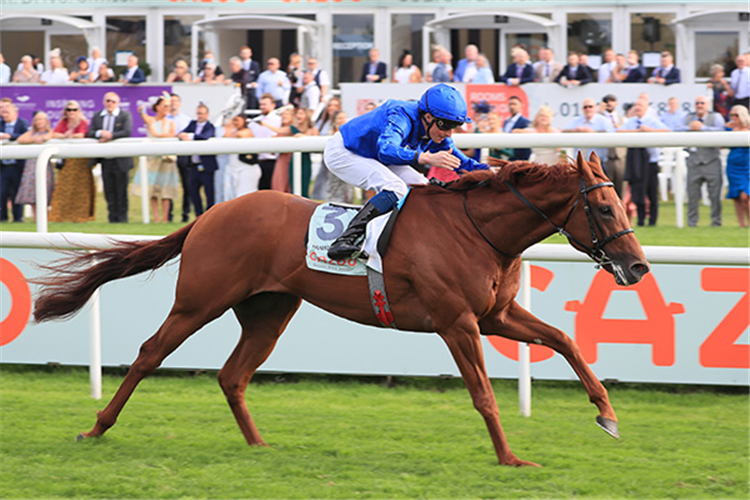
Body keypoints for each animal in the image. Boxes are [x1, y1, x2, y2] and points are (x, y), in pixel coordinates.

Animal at [32, 151, 648, 464]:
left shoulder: (495, 316)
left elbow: (565, 341)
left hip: (269, 310)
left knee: (233, 375)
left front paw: (607, 414)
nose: (638, 267)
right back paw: (97, 428)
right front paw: (510, 458)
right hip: (200, 300)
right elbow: (485, 395)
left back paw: (259, 445)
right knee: (148, 353)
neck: (478, 229)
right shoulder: (458, 323)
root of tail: (211, 213)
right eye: (604, 208)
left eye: (621, 203)